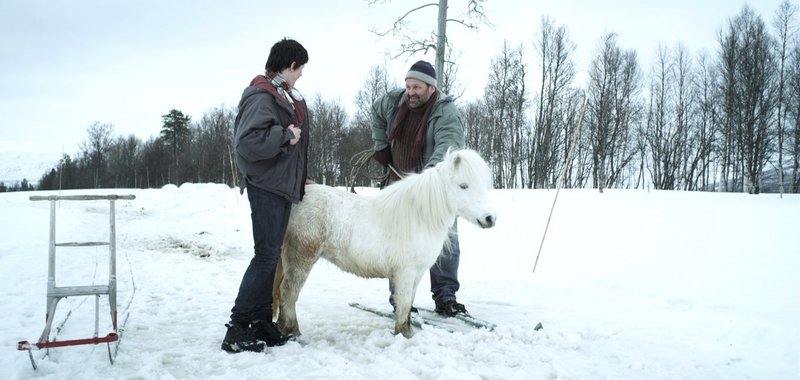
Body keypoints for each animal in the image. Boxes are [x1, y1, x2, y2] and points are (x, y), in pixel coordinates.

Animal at [276, 149, 496, 338]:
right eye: (463, 185)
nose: (490, 218)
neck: (419, 217)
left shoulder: (416, 274)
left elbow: (407, 305)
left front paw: (407, 331)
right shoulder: (405, 273)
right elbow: (404, 304)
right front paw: (404, 335)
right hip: (301, 258)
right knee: (288, 293)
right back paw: (291, 331)